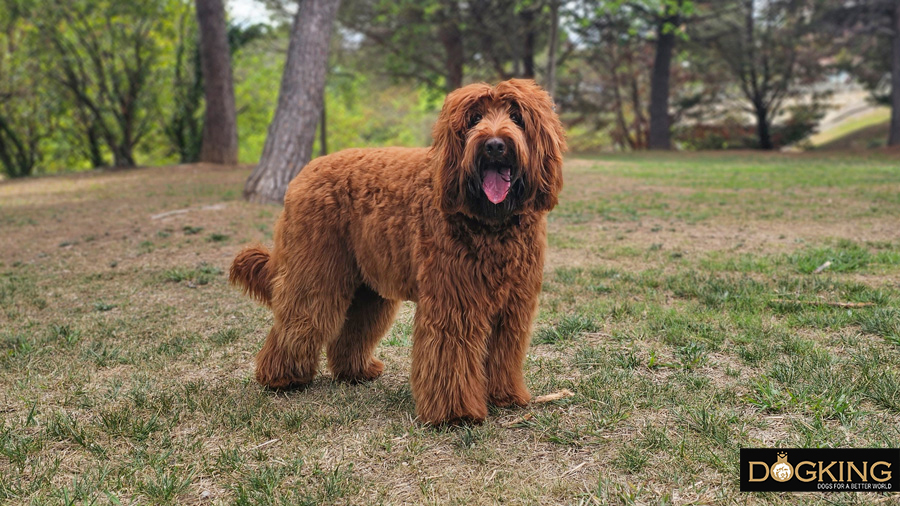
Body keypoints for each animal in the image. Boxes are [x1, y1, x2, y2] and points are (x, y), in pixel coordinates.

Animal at [232, 79, 564, 424]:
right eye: (474, 119)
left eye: (517, 117)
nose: (495, 146)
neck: (490, 222)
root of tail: (306, 171)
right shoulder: (454, 302)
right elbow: (451, 355)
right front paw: (454, 413)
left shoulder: (513, 306)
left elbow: (504, 352)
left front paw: (505, 395)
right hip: (315, 272)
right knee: (300, 319)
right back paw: (281, 377)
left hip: (367, 286)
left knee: (353, 328)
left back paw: (355, 370)